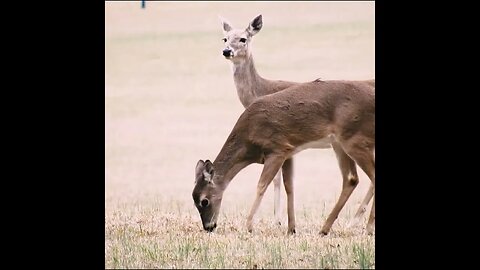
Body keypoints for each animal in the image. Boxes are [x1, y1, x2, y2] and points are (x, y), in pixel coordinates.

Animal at [191, 77, 376, 234]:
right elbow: (289, 187)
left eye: (204, 201)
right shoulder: (289, 151)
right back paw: (325, 229)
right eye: (194, 200)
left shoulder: (277, 148)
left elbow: (262, 185)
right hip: (340, 143)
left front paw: (249, 226)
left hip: (354, 139)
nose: (208, 227)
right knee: (351, 179)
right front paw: (291, 229)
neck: (248, 142)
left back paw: (367, 228)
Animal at [218, 13, 376, 227]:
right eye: (224, 38)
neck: (261, 91)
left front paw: (277, 221)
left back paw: (356, 221)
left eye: (243, 38)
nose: (227, 51)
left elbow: (276, 179)